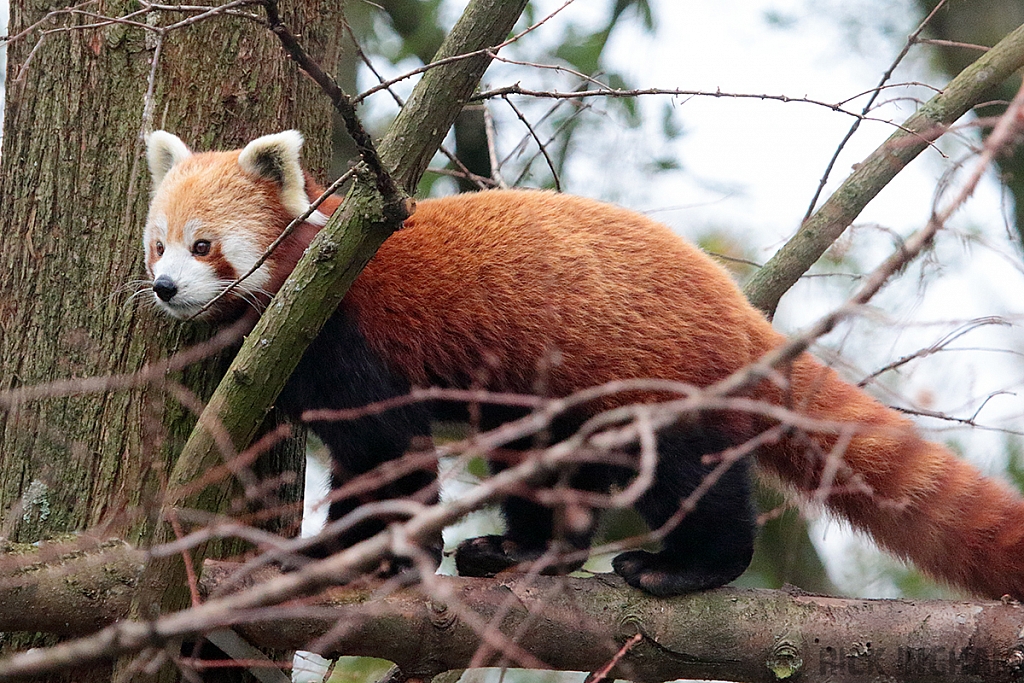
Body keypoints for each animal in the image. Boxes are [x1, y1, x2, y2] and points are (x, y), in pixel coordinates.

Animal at [146, 129, 1024, 598]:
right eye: (158, 245)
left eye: (205, 246)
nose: (164, 287)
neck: (308, 275)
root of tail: (734, 305)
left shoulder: (343, 331)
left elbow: (388, 453)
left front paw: (344, 555)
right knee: (545, 468)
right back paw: (523, 552)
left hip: (657, 379)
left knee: (690, 476)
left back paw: (685, 567)